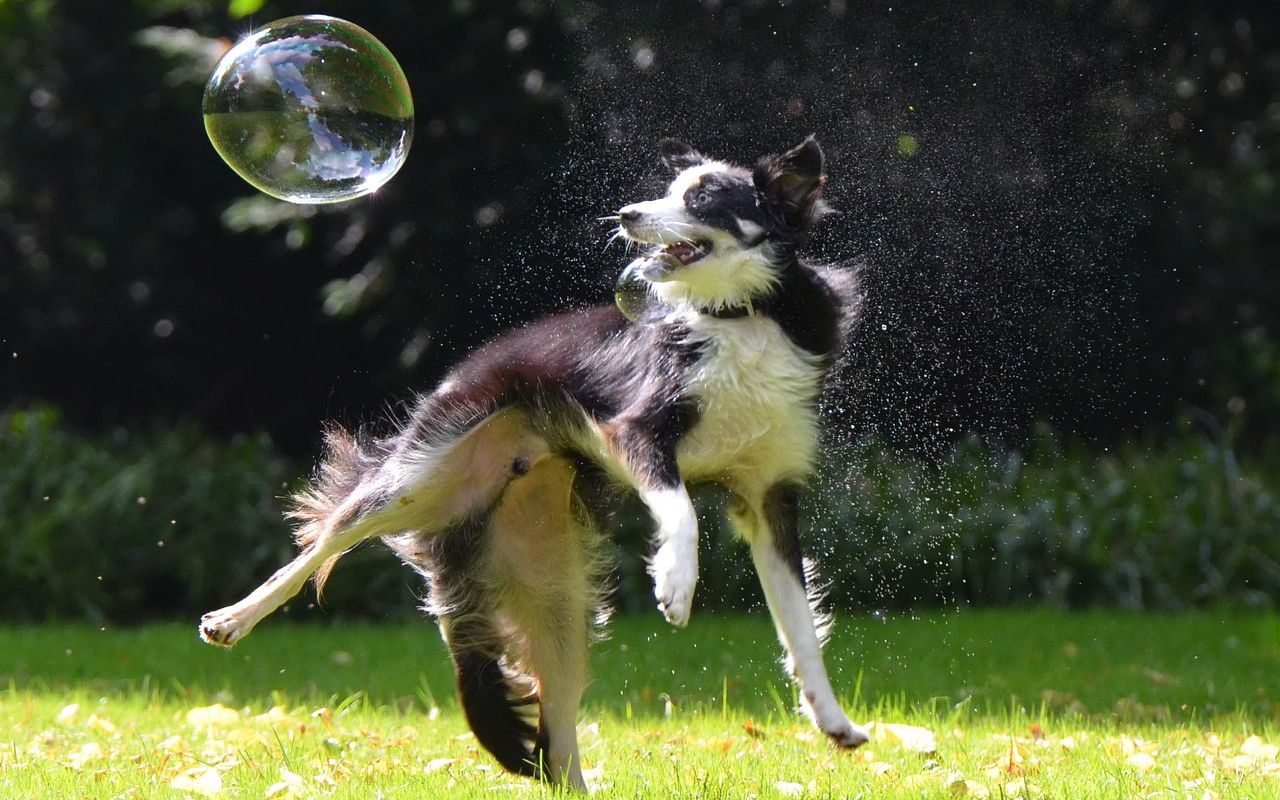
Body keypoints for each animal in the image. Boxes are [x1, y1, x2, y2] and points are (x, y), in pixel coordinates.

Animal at [199, 135, 870, 788]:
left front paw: (833, 721)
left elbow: (800, 628)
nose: (626, 215)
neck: (743, 314)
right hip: (416, 474)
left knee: (556, 745)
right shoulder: (636, 432)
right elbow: (681, 510)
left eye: (702, 198)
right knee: (323, 543)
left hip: (558, 598)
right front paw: (676, 584)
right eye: (669, 189)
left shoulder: (769, 498)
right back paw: (232, 618)